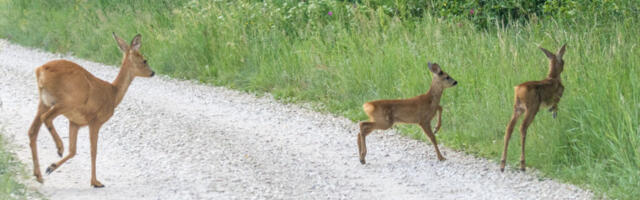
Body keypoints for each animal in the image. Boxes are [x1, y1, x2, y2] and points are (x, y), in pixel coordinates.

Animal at [28, 32, 156, 187]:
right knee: (46, 118)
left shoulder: (75, 122)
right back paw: (59, 148)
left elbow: (73, 151)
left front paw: (51, 167)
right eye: (144, 60)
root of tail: (40, 70)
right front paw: (96, 182)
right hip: (67, 101)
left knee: (32, 130)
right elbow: (93, 151)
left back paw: (39, 175)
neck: (113, 93)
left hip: (44, 102)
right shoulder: (95, 120)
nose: (153, 72)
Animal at [502, 44, 568, 172]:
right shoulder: (558, 97)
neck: (553, 77)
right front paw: (553, 112)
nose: (564, 65)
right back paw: (522, 164)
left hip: (517, 108)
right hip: (532, 107)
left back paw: (502, 164)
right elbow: (555, 106)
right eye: (562, 60)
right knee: (522, 127)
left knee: (509, 128)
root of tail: (518, 89)